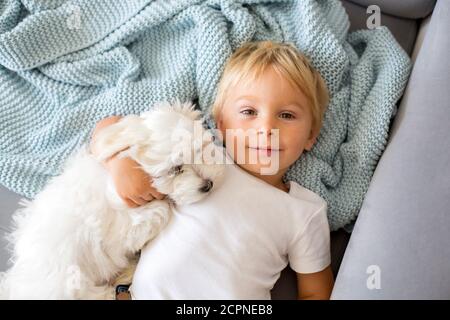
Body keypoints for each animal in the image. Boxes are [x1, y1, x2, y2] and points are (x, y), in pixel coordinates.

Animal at [0, 101, 225, 298]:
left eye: (202, 149)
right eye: (175, 169)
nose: (208, 185)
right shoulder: (123, 229)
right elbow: (161, 210)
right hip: (73, 283)